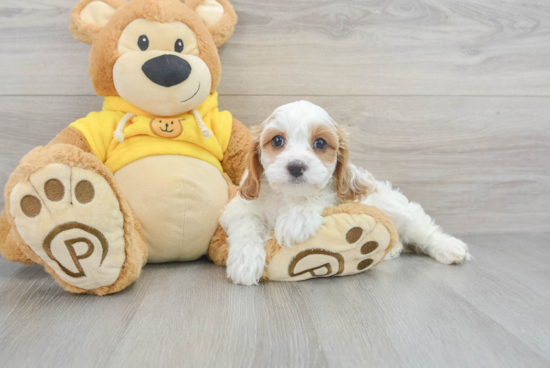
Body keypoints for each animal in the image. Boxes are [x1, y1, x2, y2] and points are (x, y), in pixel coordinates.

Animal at [222, 102, 472, 286]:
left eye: (320, 143)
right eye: (277, 140)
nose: (296, 167)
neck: (289, 196)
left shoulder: (339, 195)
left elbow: (322, 195)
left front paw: (295, 220)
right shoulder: (241, 207)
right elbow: (247, 225)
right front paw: (245, 262)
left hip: (398, 209)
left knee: (424, 230)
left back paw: (450, 248)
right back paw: (393, 250)